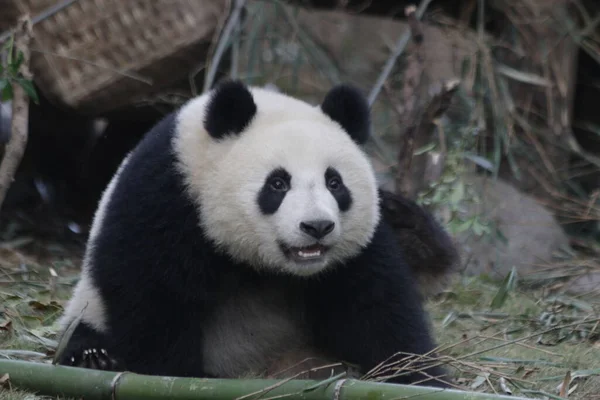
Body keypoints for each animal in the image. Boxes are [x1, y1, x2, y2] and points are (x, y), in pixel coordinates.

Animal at [56, 80, 450, 388]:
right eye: (277, 183)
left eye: (335, 182)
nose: (317, 227)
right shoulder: (166, 200)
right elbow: (152, 298)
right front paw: (181, 376)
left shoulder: (357, 250)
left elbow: (377, 309)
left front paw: (419, 378)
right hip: (87, 308)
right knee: (81, 339)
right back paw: (95, 358)